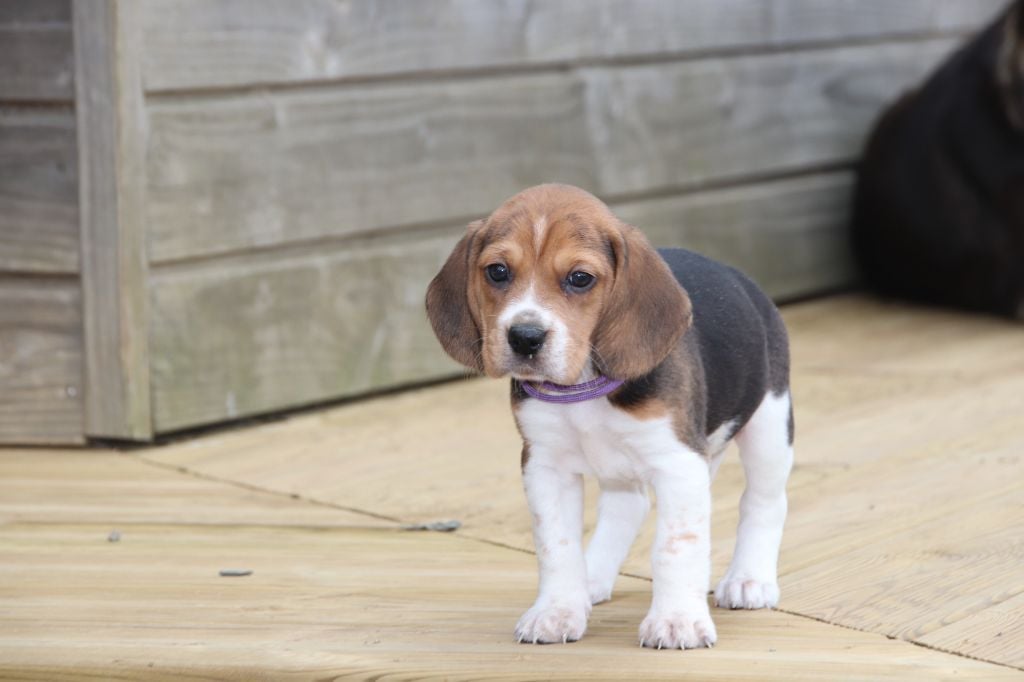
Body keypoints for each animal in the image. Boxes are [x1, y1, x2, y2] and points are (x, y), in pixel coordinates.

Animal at [423, 183, 790, 647]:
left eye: (580, 278)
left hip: (769, 425)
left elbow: (676, 547)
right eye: (497, 272)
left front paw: (677, 620)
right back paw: (591, 578)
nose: (525, 337)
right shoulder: (545, 465)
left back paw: (749, 579)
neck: (583, 386)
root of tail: (740, 277)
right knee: (628, 506)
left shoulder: (678, 463)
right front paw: (558, 610)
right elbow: (556, 546)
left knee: (764, 501)